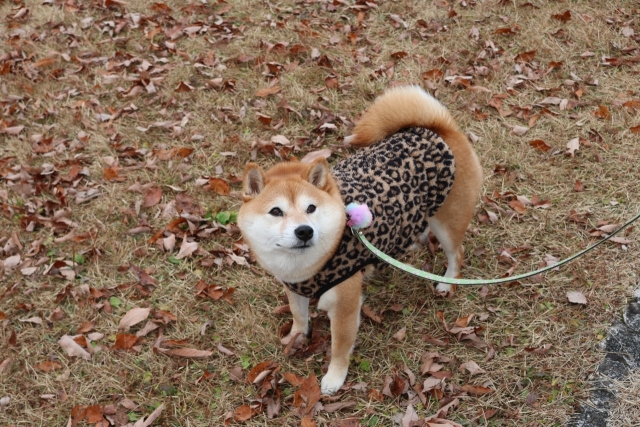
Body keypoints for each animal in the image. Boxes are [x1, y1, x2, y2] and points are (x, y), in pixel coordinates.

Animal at [238, 86, 482, 394]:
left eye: (311, 208)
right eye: (276, 211)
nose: (304, 231)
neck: (307, 265)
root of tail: (439, 130)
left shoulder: (345, 304)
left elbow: (340, 347)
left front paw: (334, 378)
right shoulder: (294, 288)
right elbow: (299, 316)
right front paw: (296, 337)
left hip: (449, 222)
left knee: (456, 254)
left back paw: (447, 283)